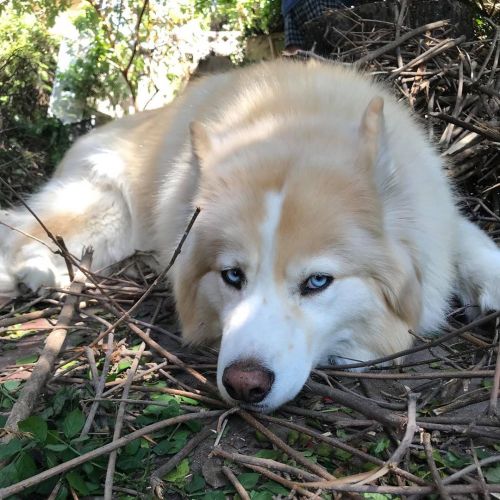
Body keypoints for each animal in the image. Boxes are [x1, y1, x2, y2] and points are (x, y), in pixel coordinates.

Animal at [0, 59, 500, 410]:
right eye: (232, 276)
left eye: (317, 282)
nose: (245, 386)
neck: (293, 121)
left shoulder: (437, 219)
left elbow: (465, 239)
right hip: (104, 210)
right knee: (24, 230)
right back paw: (29, 273)